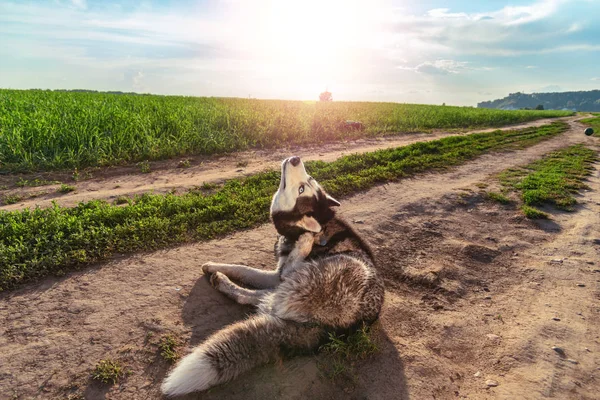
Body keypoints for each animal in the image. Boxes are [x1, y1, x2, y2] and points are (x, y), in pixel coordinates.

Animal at [161, 156, 384, 396]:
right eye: (308, 180)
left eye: (301, 188)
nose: (296, 159)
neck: (303, 228)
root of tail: (335, 329)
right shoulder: (275, 275)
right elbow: (244, 269)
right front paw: (212, 265)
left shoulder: (282, 275)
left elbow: (253, 271)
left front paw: (305, 241)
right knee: (258, 297)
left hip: (322, 277)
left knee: (258, 298)